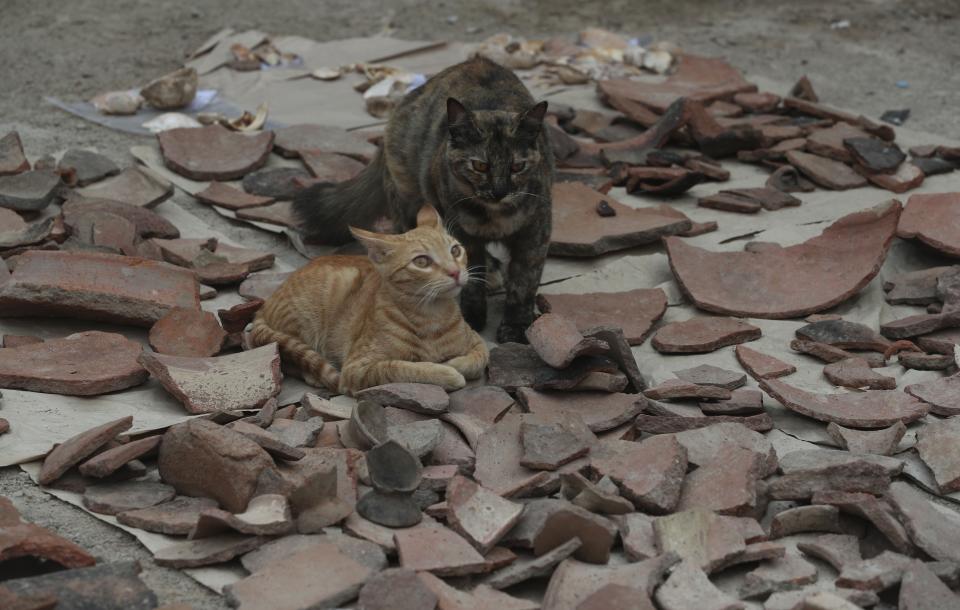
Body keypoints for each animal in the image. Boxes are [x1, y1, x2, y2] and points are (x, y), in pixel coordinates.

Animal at [249, 204, 488, 394]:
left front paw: (456, 363)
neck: (432, 316)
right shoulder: (357, 368)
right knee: (283, 354)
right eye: (421, 261)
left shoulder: (477, 340)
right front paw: (446, 372)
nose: (455, 272)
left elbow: (480, 357)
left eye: (455, 250)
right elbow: (403, 367)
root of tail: (268, 301)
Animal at [292, 56, 552, 342]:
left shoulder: (534, 235)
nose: (499, 190)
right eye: (480, 166)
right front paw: (473, 317)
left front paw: (516, 327)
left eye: (517, 167)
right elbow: (471, 279)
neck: (493, 216)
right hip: (409, 202)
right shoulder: (462, 234)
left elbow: (523, 285)